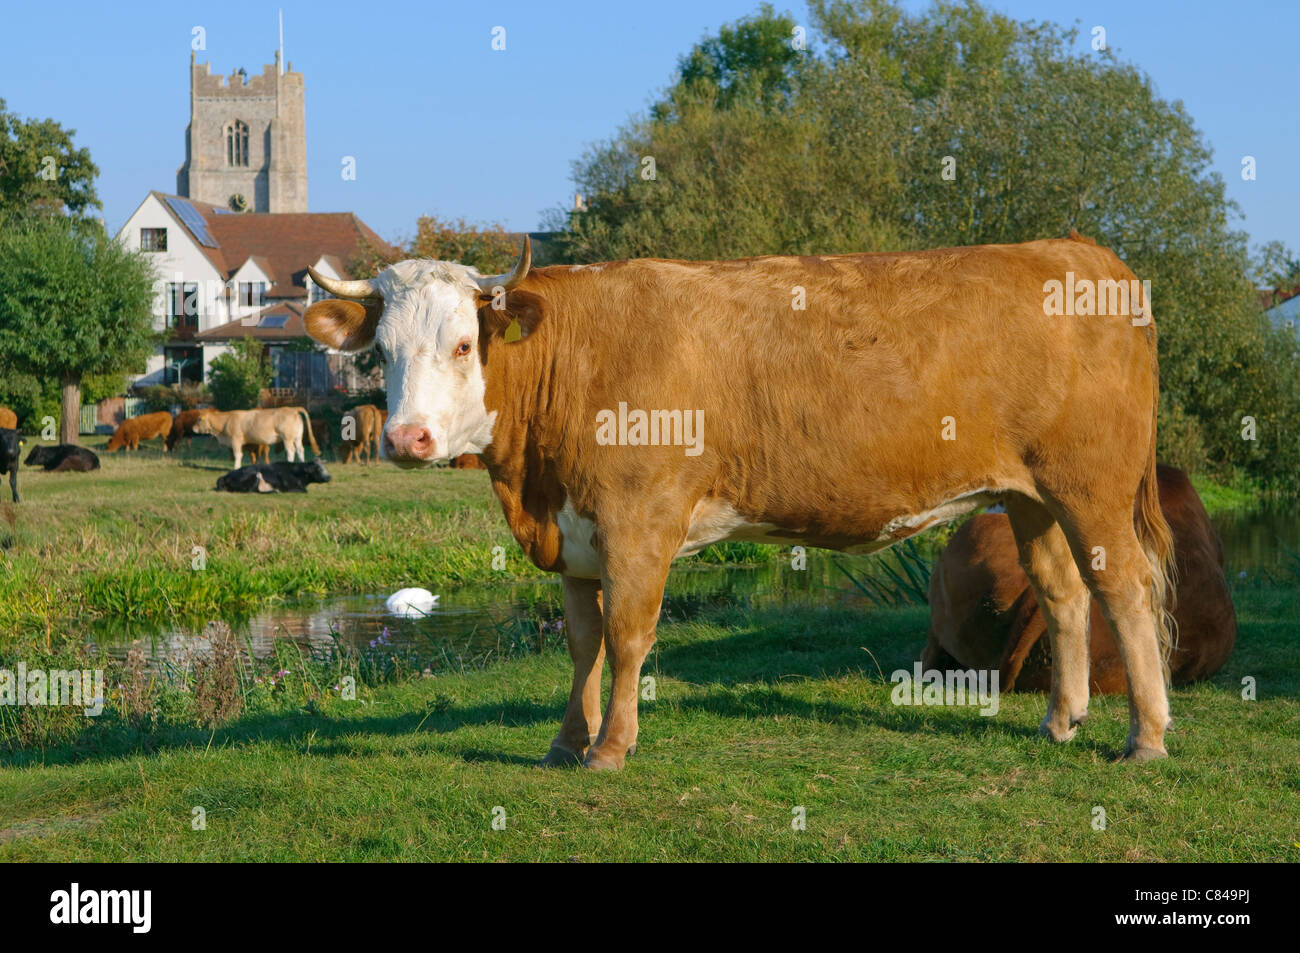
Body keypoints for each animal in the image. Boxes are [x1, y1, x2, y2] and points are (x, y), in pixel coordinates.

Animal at [306, 234, 1180, 769]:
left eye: (462, 344)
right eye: (383, 353)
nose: (407, 438)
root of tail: (1078, 249)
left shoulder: (638, 525)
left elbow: (627, 638)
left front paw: (611, 746)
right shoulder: (576, 538)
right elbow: (582, 643)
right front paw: (564, 742)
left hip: (1091, 487)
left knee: (1126, 590)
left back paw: (1146, 735)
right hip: (1031, 495)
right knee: (1064, 593)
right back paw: (1061, 719)